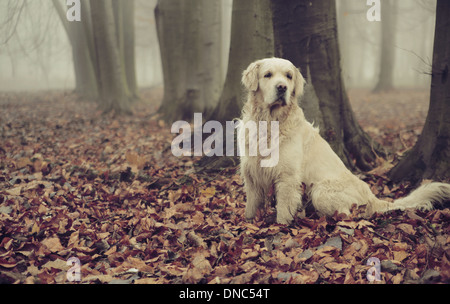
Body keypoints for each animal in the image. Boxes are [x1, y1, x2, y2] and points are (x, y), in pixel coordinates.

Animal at [239, 57, 450, 224]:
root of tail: (371, 196)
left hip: (320, 191)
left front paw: (281, 227)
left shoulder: (287, 176)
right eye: (268, 75)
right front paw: (249, 221)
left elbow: (283, 208)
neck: (269, 122)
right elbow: (251, 203)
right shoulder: (251, 171)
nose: (282, 87)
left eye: (288, 76)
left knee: (347, 214)